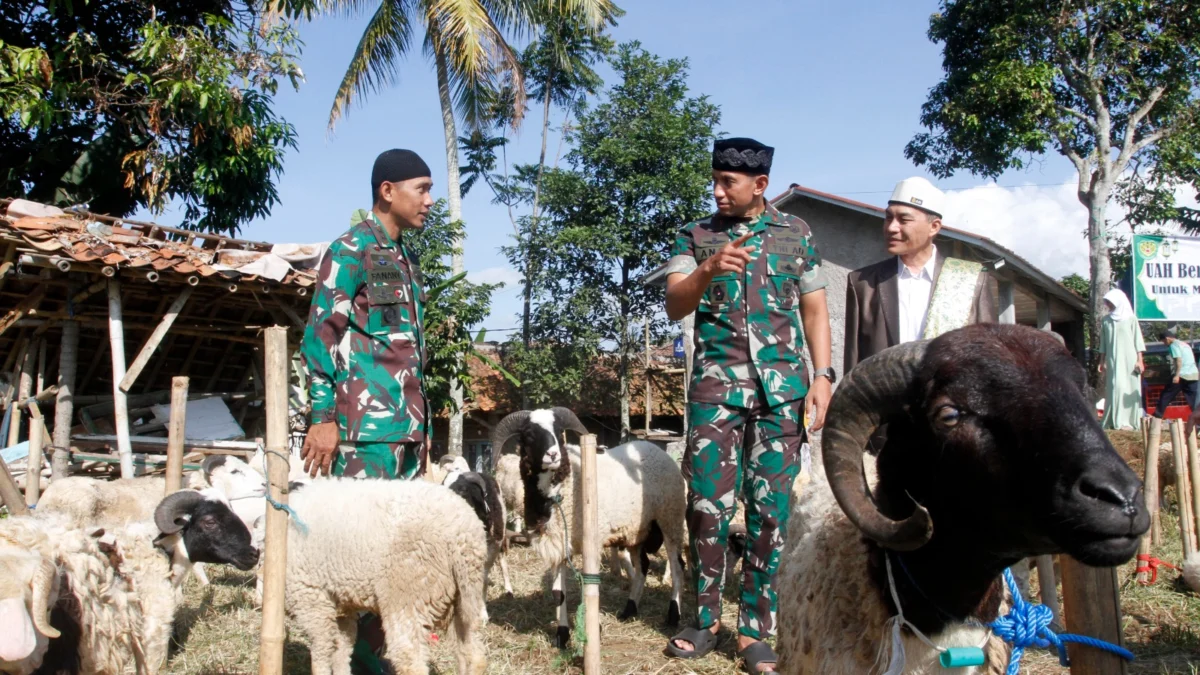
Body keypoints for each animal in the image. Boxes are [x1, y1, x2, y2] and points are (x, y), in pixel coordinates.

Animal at [492, 403, 686, 648]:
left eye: (559, 432)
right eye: (529, 434)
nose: (553, 454)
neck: (559, 491)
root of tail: (655, 449)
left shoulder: (588, 543)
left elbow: (588, 585)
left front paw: (594, 631)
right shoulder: (558, 544)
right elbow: (558, 593)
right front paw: (562, 635)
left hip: (671, 518)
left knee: (677, 566)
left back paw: (673, 616)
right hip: (638, 531)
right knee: (643, 566)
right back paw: (629, 610)